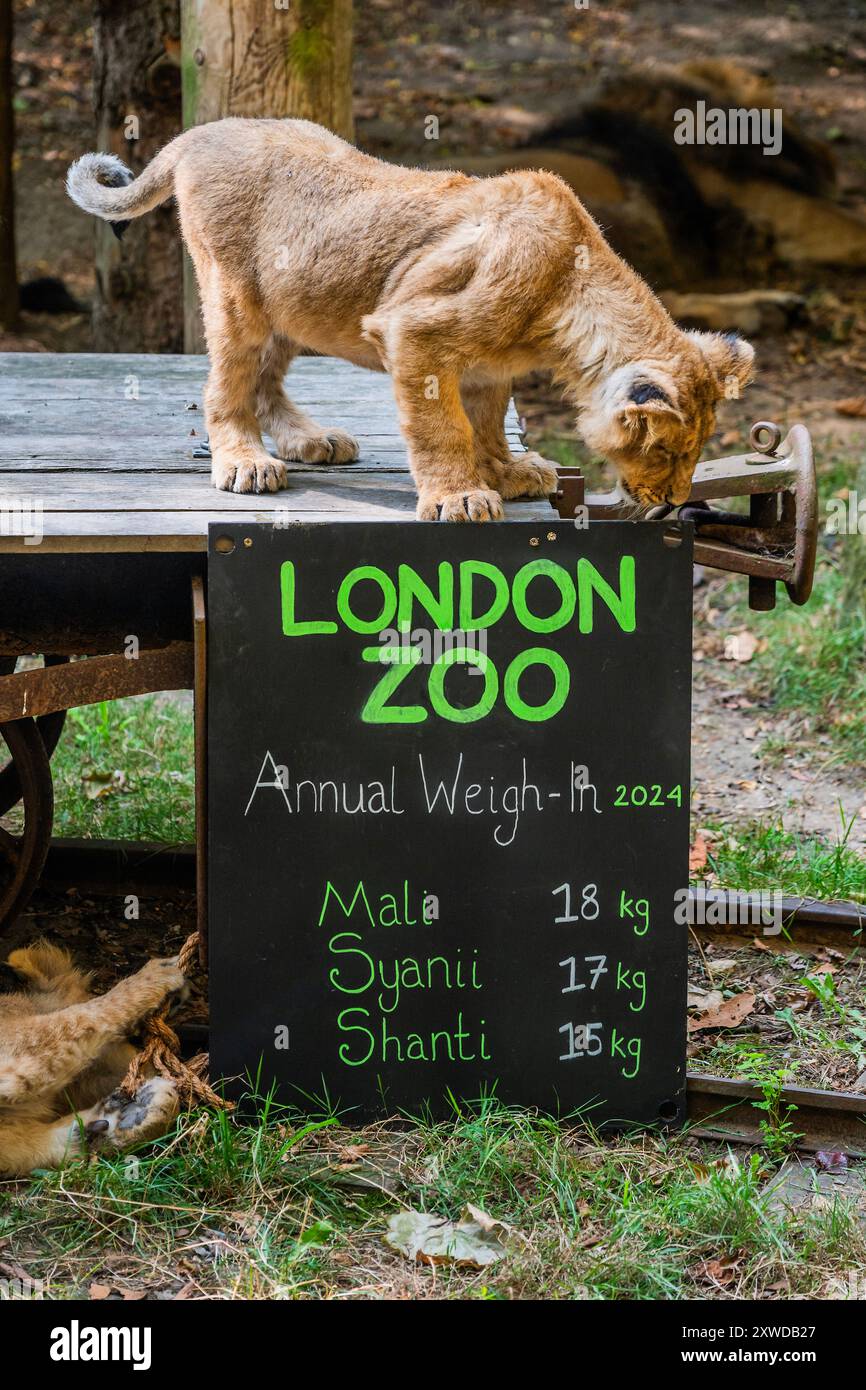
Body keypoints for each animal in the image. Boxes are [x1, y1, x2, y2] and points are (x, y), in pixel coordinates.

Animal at [0, 945, 180, 1173]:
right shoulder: (20, 1053)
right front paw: (160, 971)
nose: (149, 1070)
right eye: (113, 1040)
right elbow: (87, 1014)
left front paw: (139, 1115)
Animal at [66, 115, 750, 522]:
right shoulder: (416, 329)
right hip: (237, 295)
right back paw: (246, 461)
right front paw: (461, 496)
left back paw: (310, 440)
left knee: (267, 378)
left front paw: (507, 471)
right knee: (226, 384)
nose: (672, 502)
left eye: (695, 453)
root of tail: (199, 132)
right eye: (667, 452)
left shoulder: (487, 364)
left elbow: (486, 421)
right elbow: (443, 429)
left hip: (297, 300)